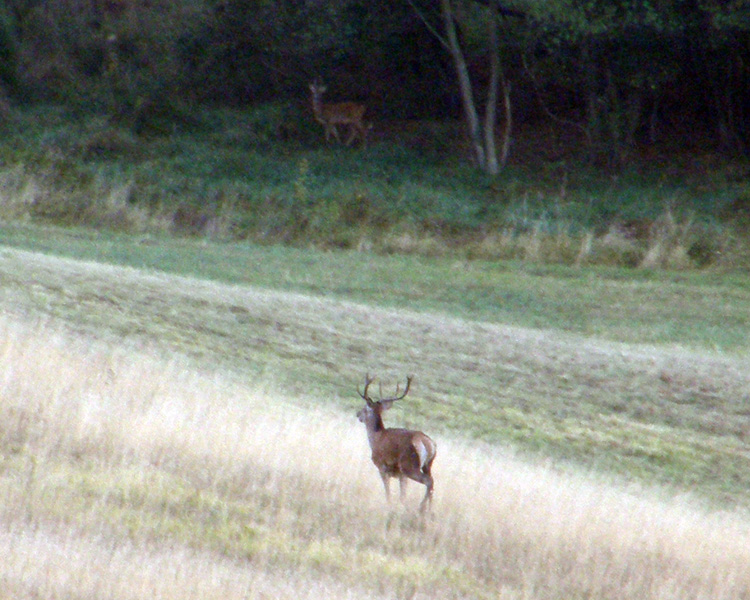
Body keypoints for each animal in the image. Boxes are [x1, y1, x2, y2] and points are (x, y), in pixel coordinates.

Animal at [356, 376, 438, 510]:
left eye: (365, 408)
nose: (358, 414)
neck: (376, 437)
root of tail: (427, 443)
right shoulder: (401, 475)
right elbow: (402, 495)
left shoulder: (382, 466)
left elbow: (388, 492)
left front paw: (389, 505)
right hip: (427, 465)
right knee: (432, 481)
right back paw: (429, 510)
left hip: (409, 465)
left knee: (428, 481)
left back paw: (421, 508)